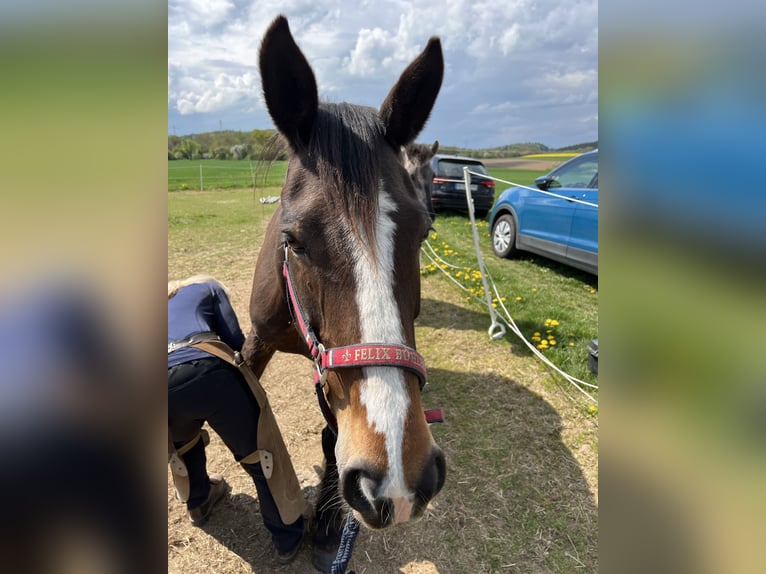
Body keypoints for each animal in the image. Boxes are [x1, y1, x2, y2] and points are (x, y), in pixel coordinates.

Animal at [241, 15, 445, 568]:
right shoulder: (257, 343)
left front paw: (330, 525)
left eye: (423, 232)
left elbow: (334, 435)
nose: (398, 477)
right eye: (292, 239)